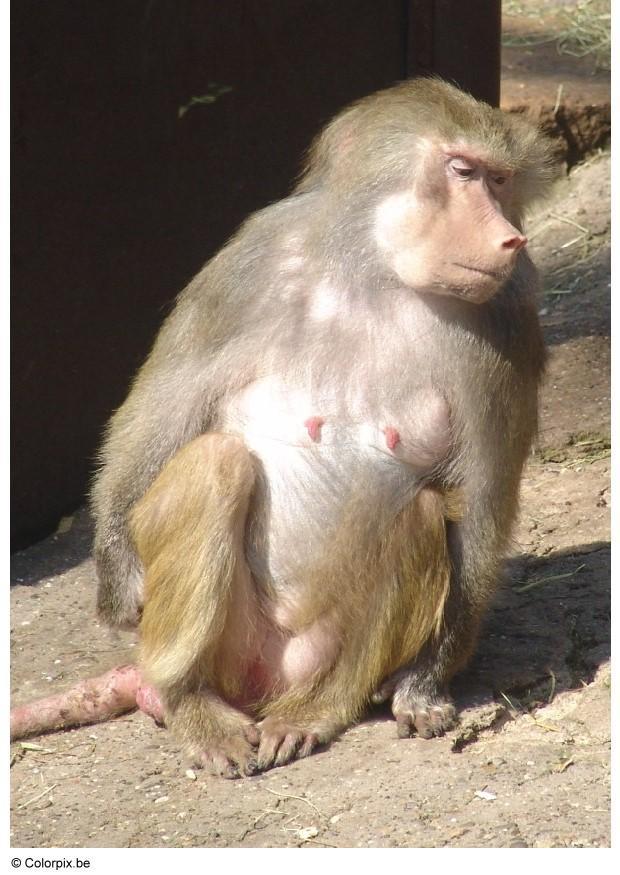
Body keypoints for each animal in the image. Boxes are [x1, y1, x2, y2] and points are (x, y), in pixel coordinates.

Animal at [11, 79, 555, 777]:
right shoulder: (251, 264)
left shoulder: (506, 318)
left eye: (501, 180)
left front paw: (425, 683)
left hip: (318, 656)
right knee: (216, 464)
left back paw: (312, 714)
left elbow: (485, 501)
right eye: (463, 172)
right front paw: (115, 578)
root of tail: (263, 686)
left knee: (419, 511)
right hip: (227, 645)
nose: (511, 240)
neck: (375, 277)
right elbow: (161, 410)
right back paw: (192, 705)